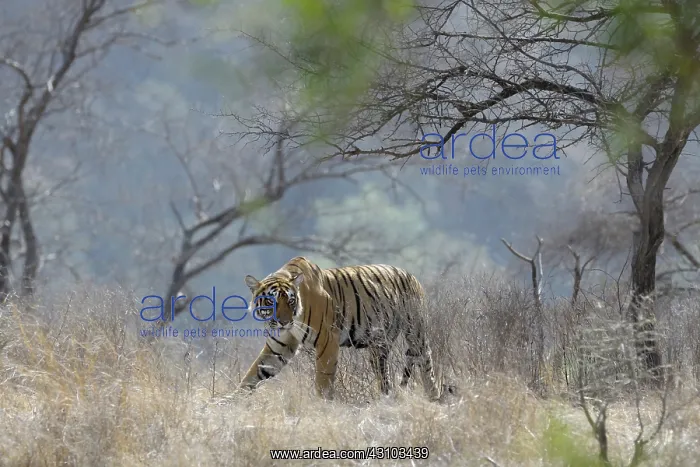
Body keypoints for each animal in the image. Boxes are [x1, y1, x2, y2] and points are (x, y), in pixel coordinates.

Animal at [238, 256, 451, 401]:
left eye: (290, 301)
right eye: (271, 302)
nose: (284, 322)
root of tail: (411, 275)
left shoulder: (327, 341)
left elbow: (323, 380)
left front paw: (322, 406)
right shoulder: (278, 347)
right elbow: (252, 374)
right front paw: (233, 403)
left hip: (416, 333)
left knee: (426, 364)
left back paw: (434, 398)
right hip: (379, 348)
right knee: (384, 377)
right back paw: (386, 400)